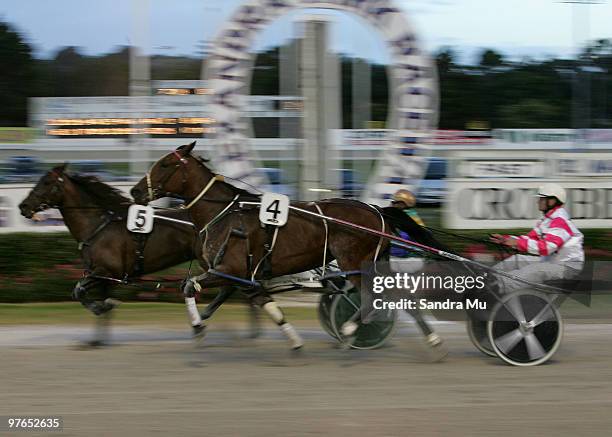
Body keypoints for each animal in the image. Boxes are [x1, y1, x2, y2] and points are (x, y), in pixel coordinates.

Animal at [19, 164, 258, 344]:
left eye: (46, 183)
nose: (23, 206)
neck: (99, 225)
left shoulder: (105, 272)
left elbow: (79, 291)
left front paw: (101, 308)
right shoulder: (103, 275)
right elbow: (93, 297)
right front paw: (98, 337)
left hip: (216, 262)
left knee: (237, 287)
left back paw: (241, 327)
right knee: (236, 288)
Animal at [130, 141, 444, 350]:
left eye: (164, 164)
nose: (135, 190)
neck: (225, 213)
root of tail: (376, 210)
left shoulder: (229, 269)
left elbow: (188, 287)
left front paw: (197, 325)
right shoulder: (239, 275)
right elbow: (252, 301)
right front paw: (200, 326)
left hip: (356, 262)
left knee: (373, 297)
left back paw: (351, 328)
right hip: (377, 261)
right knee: (396, 294)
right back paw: (430, 338)